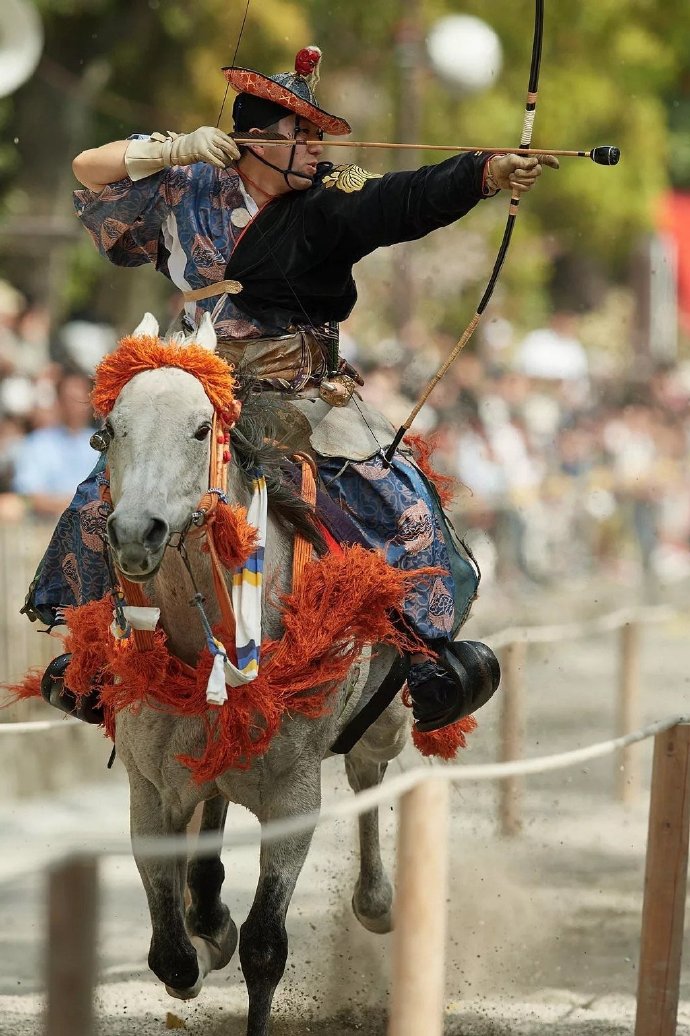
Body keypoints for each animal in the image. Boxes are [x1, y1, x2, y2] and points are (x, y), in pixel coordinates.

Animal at [102, 314, 408, 1036]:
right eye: (111, 429)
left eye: (199, 428)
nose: (136, 531)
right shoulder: (147, 785)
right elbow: (168, 952)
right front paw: (199, 944)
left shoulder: (294, 795)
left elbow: (267, 944)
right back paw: (209, 915)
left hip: (386, 718)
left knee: (368, 772)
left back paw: (376, 901)